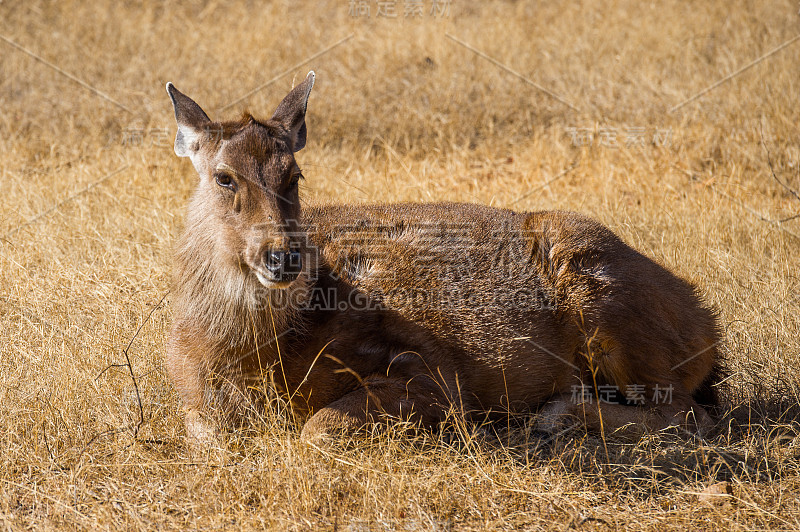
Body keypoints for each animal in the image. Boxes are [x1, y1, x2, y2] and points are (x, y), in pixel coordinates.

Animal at [166, 69, 720, 444]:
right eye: (223, 177)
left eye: (294, 176)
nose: (282, 258)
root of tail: (708, 326)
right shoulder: (192, 397)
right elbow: (204, 429)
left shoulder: (432, 371)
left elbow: (318, 427)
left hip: (610, 308)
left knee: (689, 415)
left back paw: (555, 415)